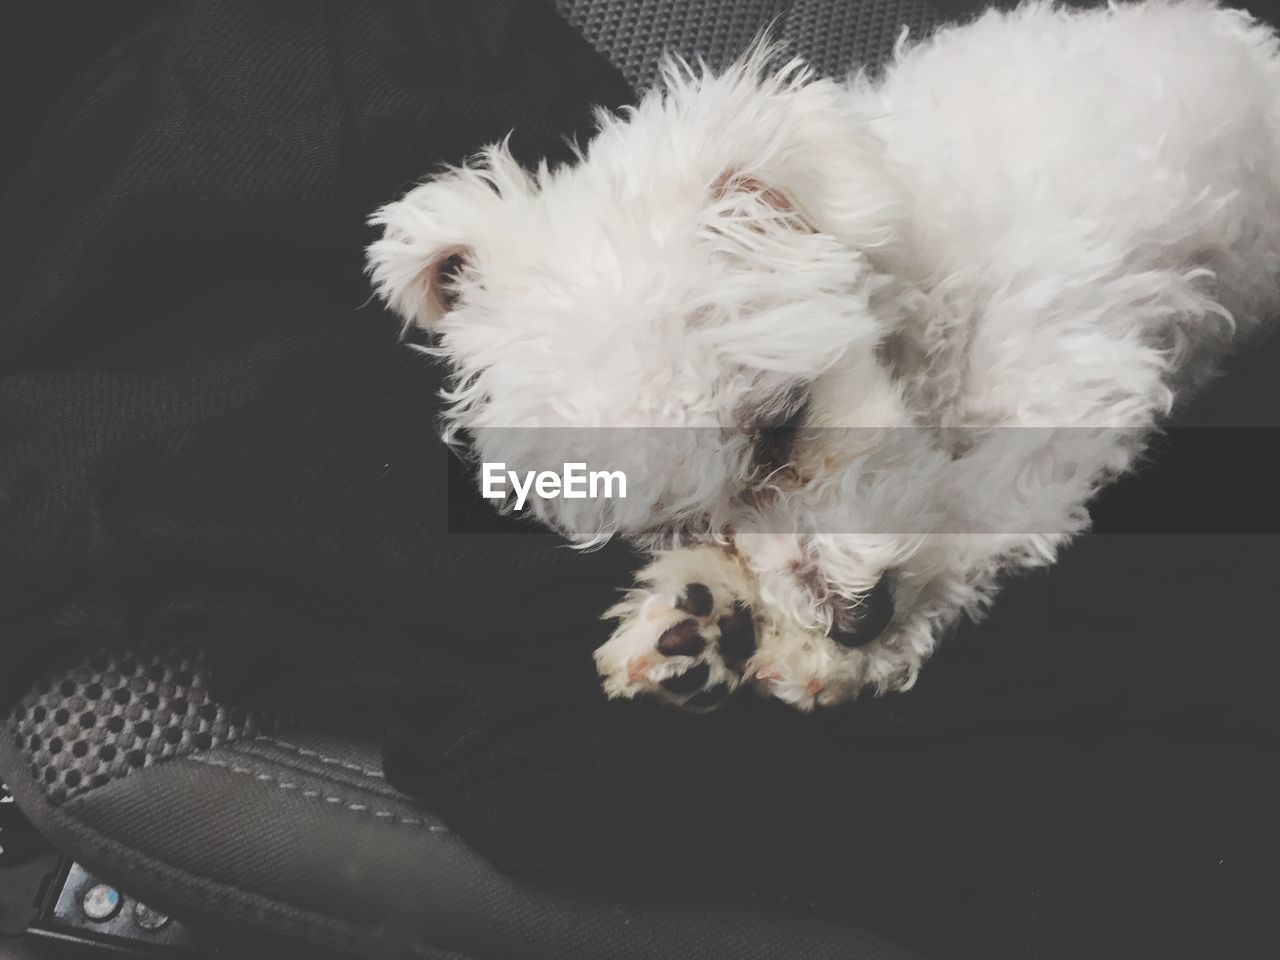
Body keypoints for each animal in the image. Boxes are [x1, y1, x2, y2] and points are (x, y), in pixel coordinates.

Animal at [368, 3, 1280, 716]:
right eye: (678, 524)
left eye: (784, 422)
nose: (857, 619)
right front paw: (706, 614)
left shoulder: (1066, 398)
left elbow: (965, 519)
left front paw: (829, 654)